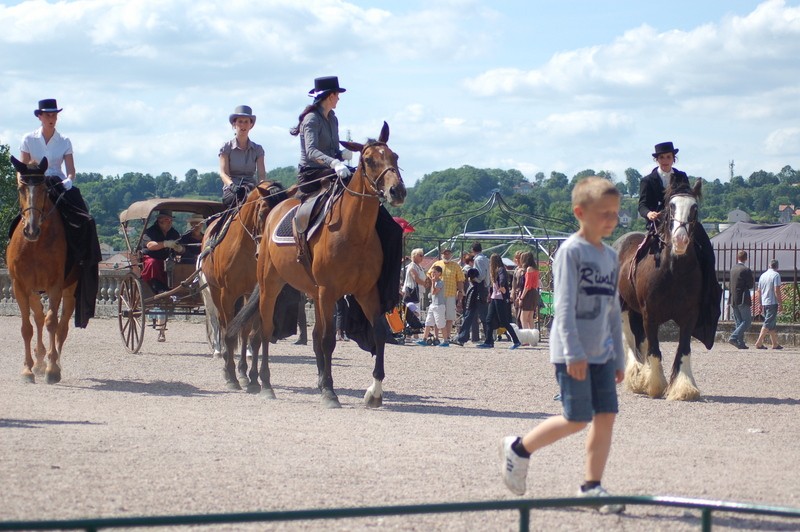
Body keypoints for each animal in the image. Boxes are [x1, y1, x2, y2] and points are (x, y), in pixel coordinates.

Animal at [6, 156, 77, 384]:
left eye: (45, 189)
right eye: (20, 188)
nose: (31, 230)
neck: (35, 245)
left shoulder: (55, 285)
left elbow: (52, 322)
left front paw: (52, 369)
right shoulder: (20, 287)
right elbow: (26, 327)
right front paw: (28, 369)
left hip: (70, 289)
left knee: (61, 326)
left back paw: (54, 363)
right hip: (33, 291)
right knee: (38, 317)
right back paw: (38, 362)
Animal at [200, 181, 288, 392]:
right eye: (263, 213)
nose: (267, 246)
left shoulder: (257, 292)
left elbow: (253, 336)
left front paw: (252, 378)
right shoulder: (228, 294)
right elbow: (229, 332)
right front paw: (231, 375)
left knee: (244, 330)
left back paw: (242, 371)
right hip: (214, 292)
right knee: (222, 324)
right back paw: (226, 364)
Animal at [231, 122, 406, 410]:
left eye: (395, 156)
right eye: (369, 160)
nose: (397, 191)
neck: (354, 232)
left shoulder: (366, 292)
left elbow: (379, 333)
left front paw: (374, 391)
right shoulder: (328, 292)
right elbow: (328, 340)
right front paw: (330, 393)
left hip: (311, 291)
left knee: (308, 337)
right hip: (271, 286)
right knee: (264, 333)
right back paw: (265, 384)